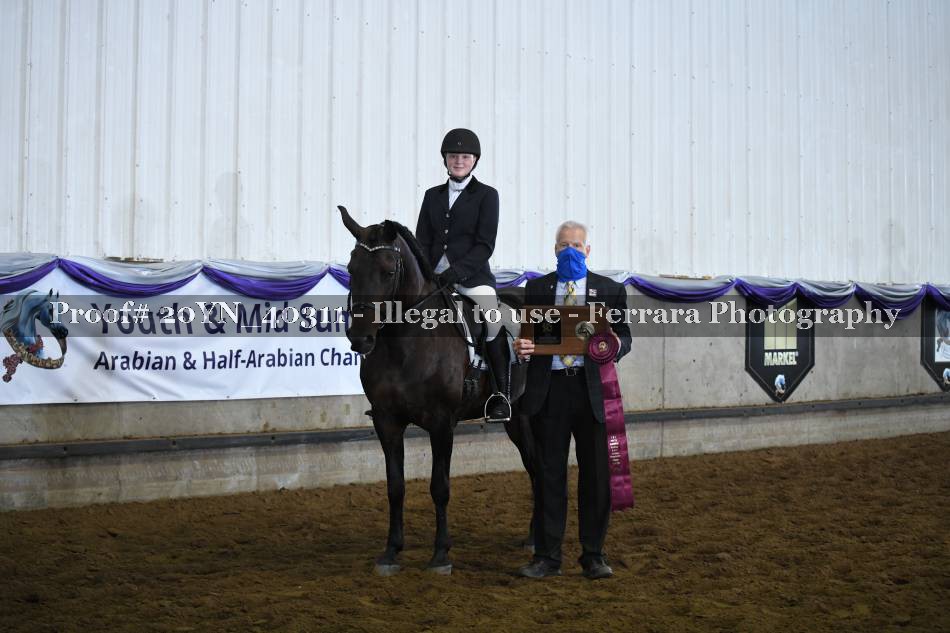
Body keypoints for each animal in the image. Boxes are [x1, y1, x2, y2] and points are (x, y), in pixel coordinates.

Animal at [338, 206, 537, 575]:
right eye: (350, 269)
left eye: (388, 271)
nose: (360, 338)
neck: (405, 343)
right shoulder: (386, 421)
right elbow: (395, 486)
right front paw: (391, 552)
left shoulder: (442, 423)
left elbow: (439, 487)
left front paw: (441, 555)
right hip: (517, 419)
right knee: (535, 465)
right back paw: (533, 536)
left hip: (529, 413)